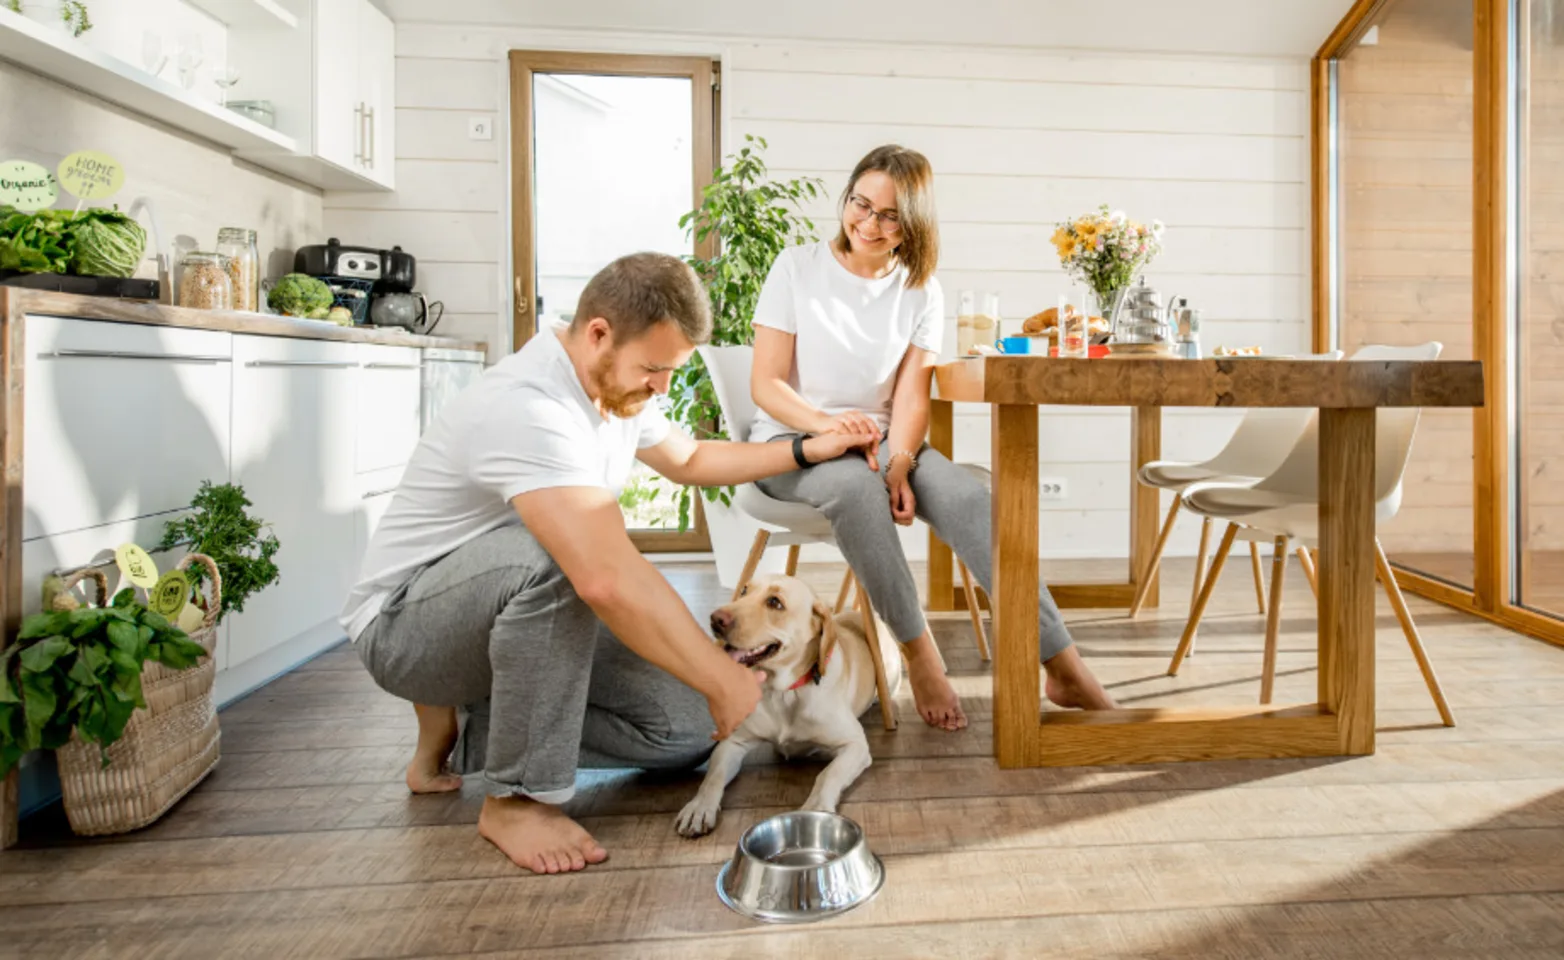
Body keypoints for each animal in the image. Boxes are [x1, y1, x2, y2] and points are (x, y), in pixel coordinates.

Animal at [675, 575, 907, 838]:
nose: (715, 619)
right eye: (744, 591)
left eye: (775, 602)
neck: (784, 692)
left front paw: (817, 806)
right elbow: (713, 777)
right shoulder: (732, 743)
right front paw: (699, 807)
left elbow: (828, 774)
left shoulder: (855, 745)